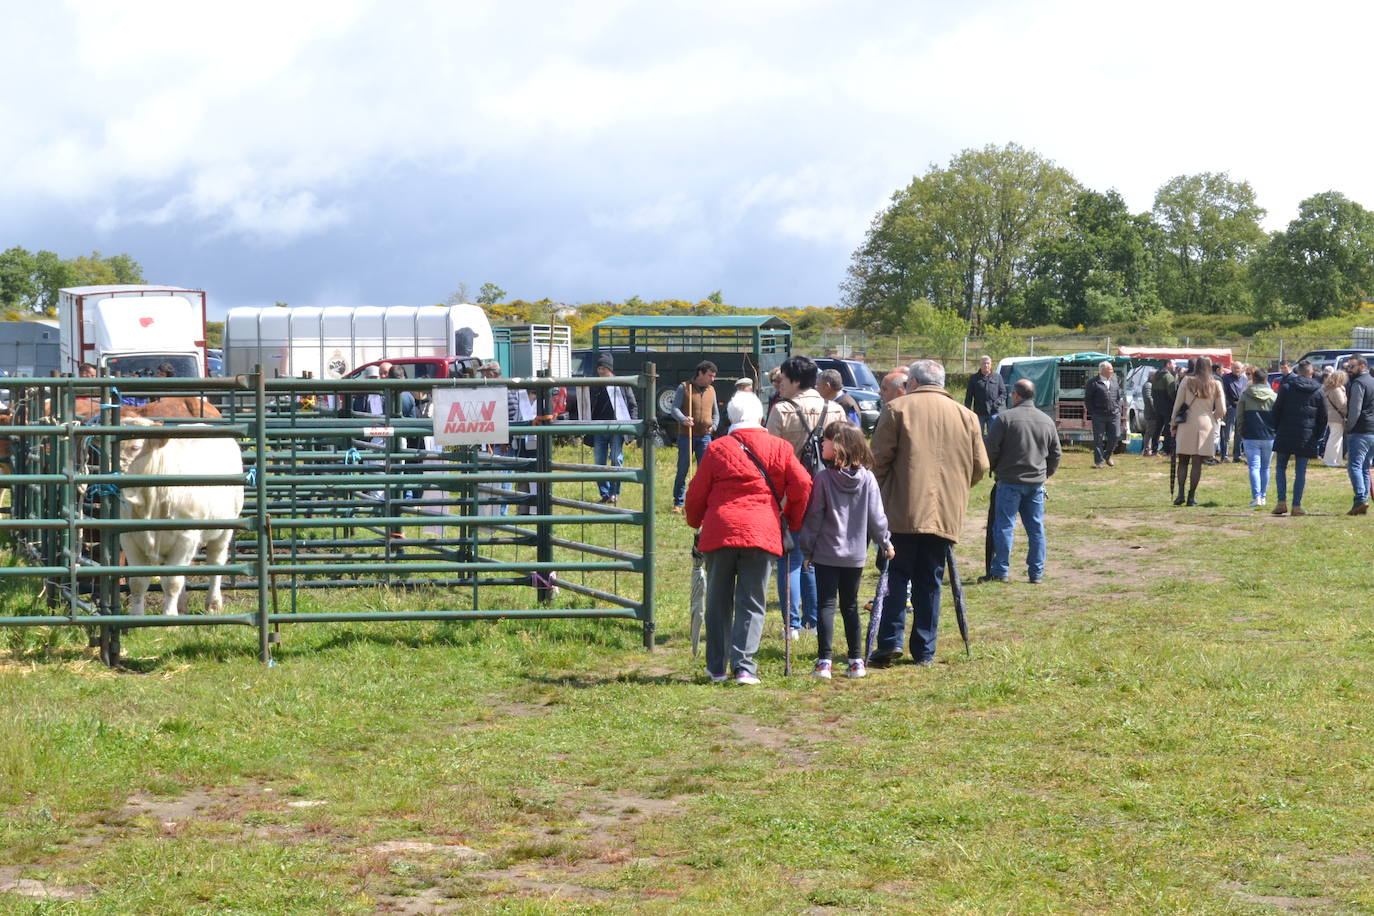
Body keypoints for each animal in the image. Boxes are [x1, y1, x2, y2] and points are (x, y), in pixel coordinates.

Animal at [118, 420, 247, 615]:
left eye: (135, 447)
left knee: (216, 560)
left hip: (225, 529)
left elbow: (172, 583)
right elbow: (138, 583)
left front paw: (170, 617)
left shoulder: (186, 539)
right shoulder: (129, 539)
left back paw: (213, 603)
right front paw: (137, 617)